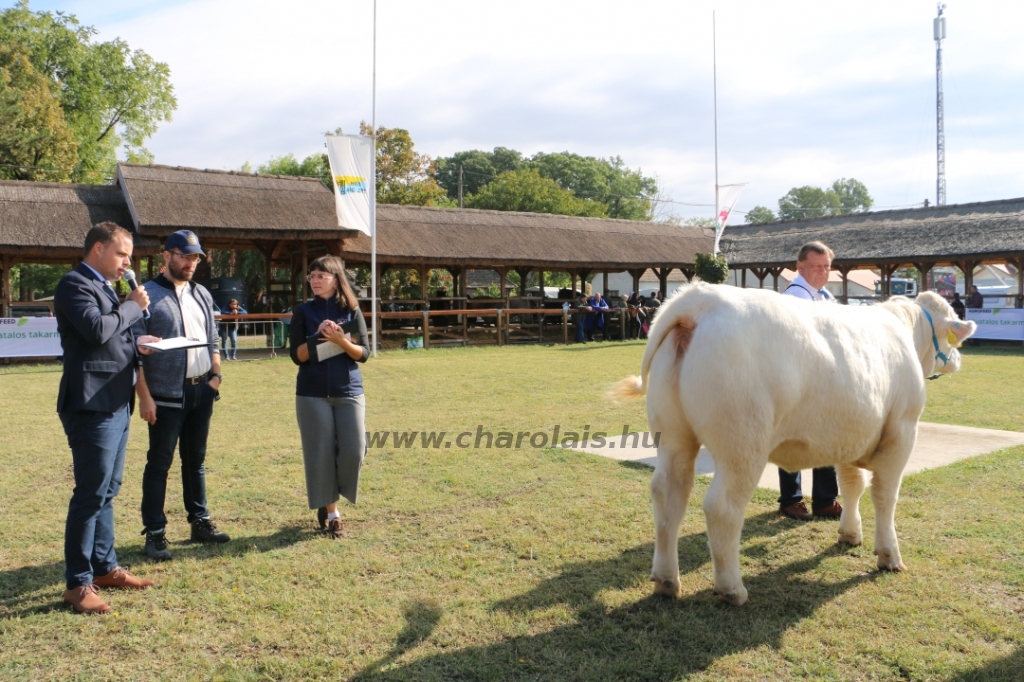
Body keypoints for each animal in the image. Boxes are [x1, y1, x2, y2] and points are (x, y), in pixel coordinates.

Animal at [614, 284, 974, 602]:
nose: (958, 359)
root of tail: (700, 299)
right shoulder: (901, 433)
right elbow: (885, 496)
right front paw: (889, 556)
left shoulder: (849, 434)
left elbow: (852, 485)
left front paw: (850, 534)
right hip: (743, 444)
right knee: (722, 507)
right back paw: (732, 589)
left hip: (673, 436)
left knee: (668, 496)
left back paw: (666, 581)